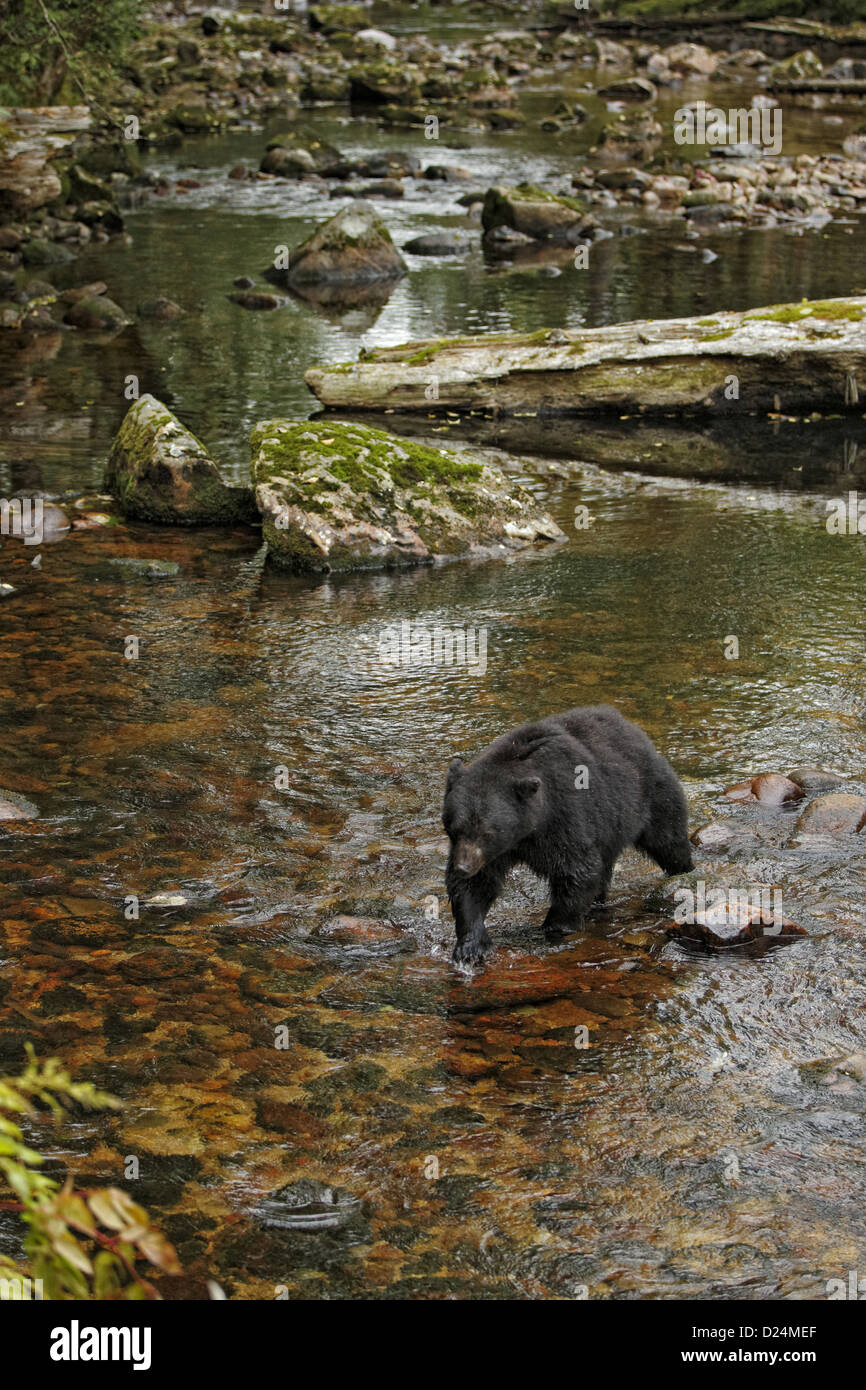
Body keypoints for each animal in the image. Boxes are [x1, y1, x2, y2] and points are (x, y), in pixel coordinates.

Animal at [444, 706, 695, 967]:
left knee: (669, 842)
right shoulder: (496, 852)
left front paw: (553, 927)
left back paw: (684, 871)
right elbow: (476, 887)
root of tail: (633, 728)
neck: (527, 830)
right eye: (453, 828)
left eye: (487, 832)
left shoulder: (564, 817)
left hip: (651, 796)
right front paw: (471, 946)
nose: (464, 867)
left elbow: (577, 871)